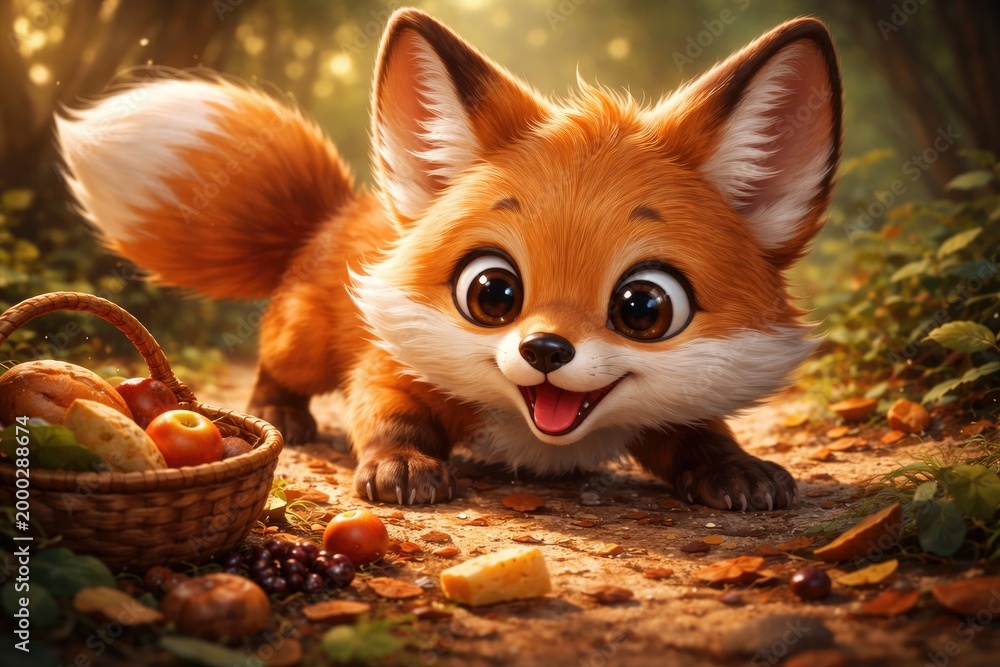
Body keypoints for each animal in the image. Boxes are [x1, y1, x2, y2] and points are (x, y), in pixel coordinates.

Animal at [55, 9, 842, 510]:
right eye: (492, 292)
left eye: (644, 307)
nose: (546, 349)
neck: (539, 437)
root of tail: (341, 207)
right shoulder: (389, 362)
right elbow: (387, 417)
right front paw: (402, 465)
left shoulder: (672, 409)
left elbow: (706, 437)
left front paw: (738, 470)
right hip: (302, 340)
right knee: (277, 363)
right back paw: (282, 410)